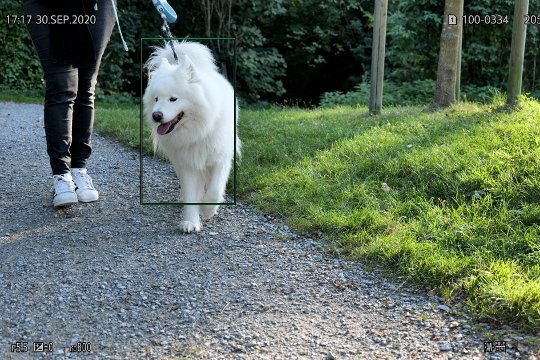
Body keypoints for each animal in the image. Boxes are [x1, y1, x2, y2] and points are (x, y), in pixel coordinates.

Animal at [142, 42, 239, 233]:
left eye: (173, 99)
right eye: (156, 99)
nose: (156, 116)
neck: (199, 130)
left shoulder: (220, 159)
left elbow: (215, 190)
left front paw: (209, 210)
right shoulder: (187, 163)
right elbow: (190, 193)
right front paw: (190, 222)